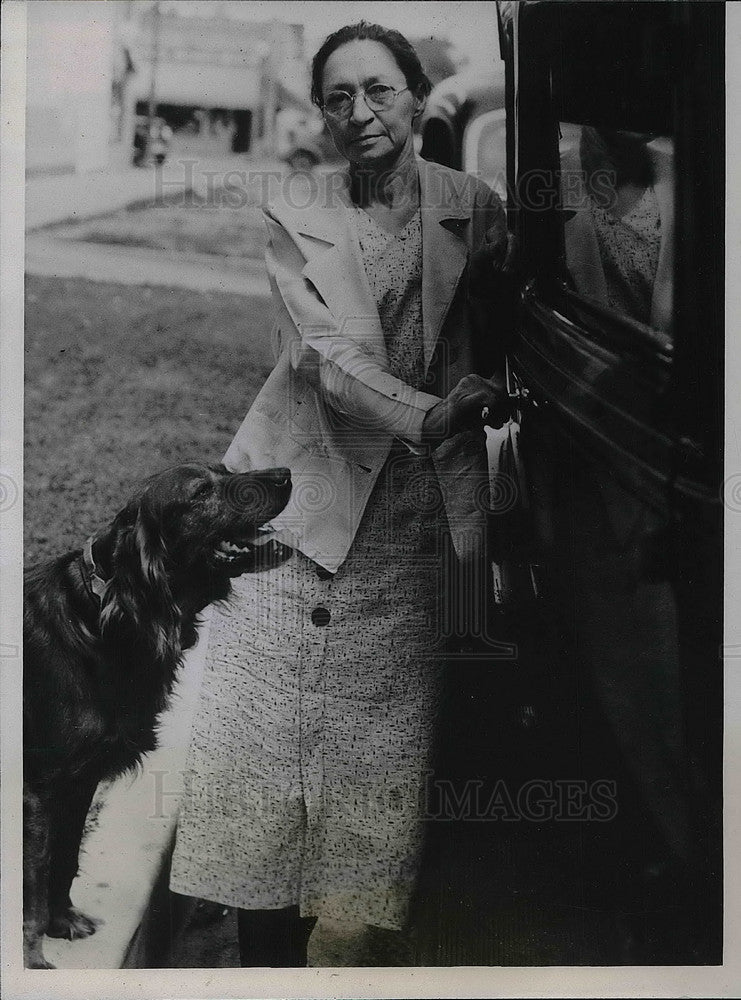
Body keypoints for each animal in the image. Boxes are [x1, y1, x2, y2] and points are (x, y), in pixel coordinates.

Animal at [23, 462, 290, 968]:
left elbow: (64, 860)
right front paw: (33, 962)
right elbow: (33, 889)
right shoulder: (40, 789)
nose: (285, 473)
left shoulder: (79, 780)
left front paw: (62, 921)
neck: (102, 618)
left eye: (224, 470)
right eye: (202, 492)